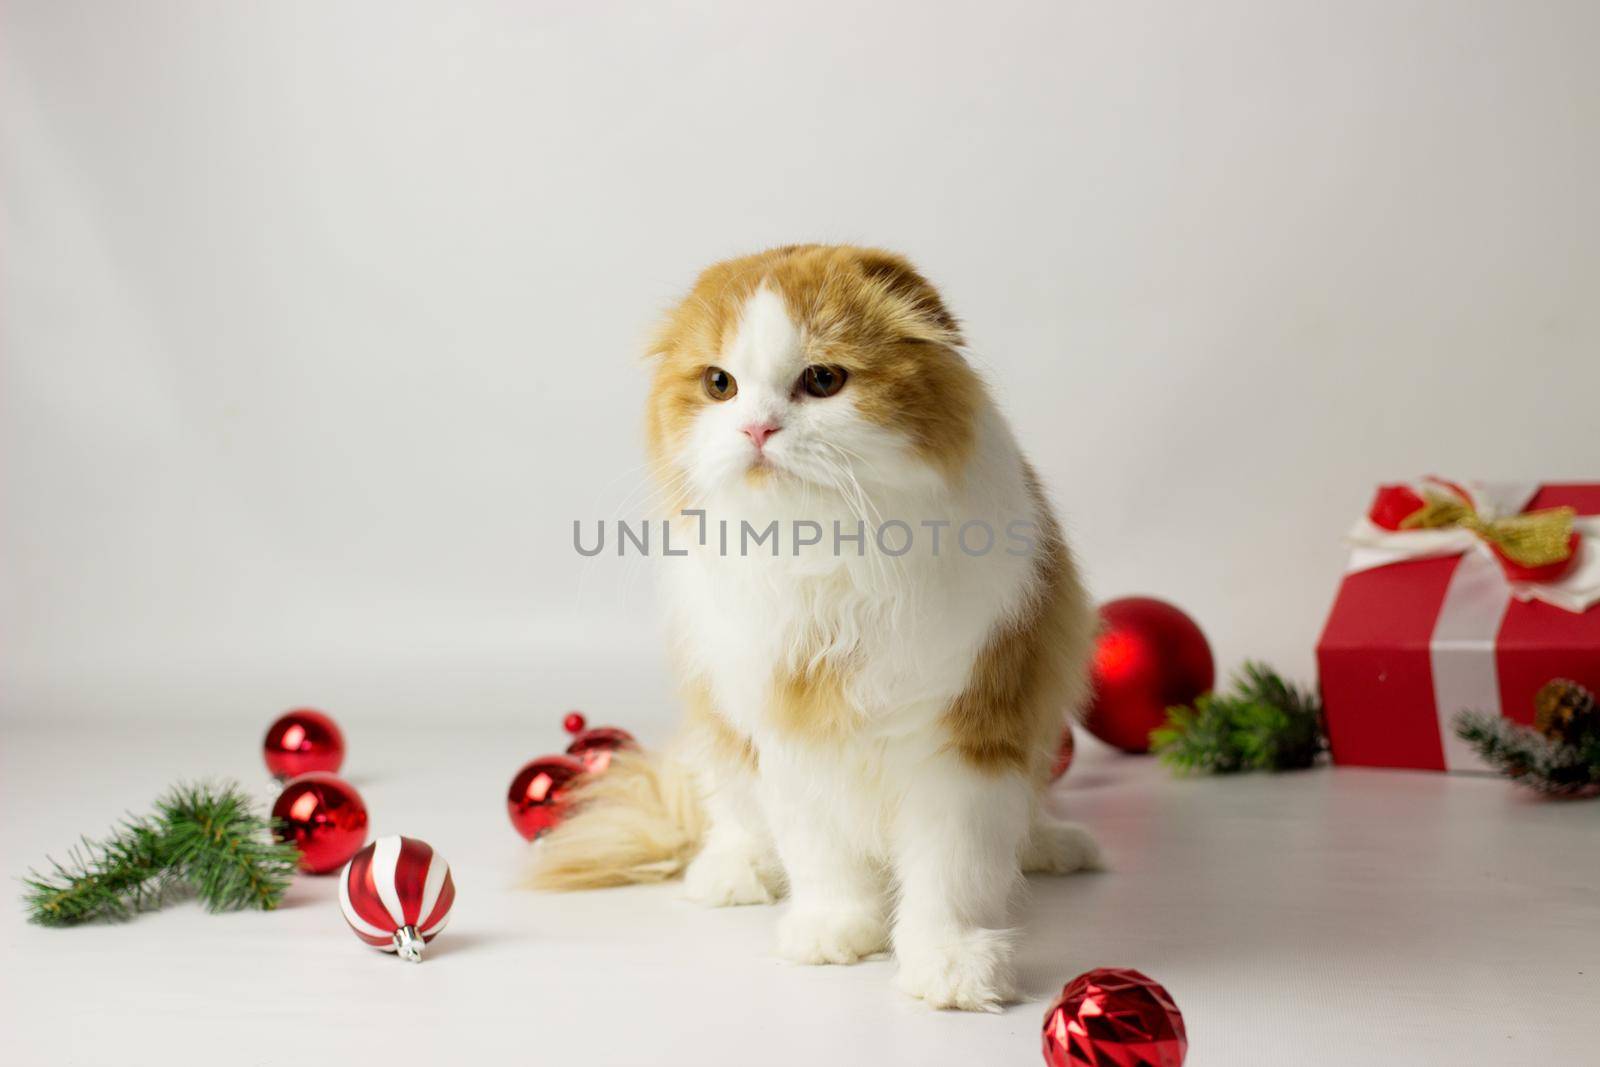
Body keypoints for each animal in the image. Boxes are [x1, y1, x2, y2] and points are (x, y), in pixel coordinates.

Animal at [531, 241, 1107, 1011]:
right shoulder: (790, 729)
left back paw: (1051, 845)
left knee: (1026, 815)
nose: (757, 429)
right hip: (718, 727)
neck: (823, 552)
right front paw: (834, 932)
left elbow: (952, 872)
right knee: (734, 816)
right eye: (720, 384)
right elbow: (822, 856)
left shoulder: (970, 728)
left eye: (823, 380)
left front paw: (951, 965)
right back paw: (731, 872)